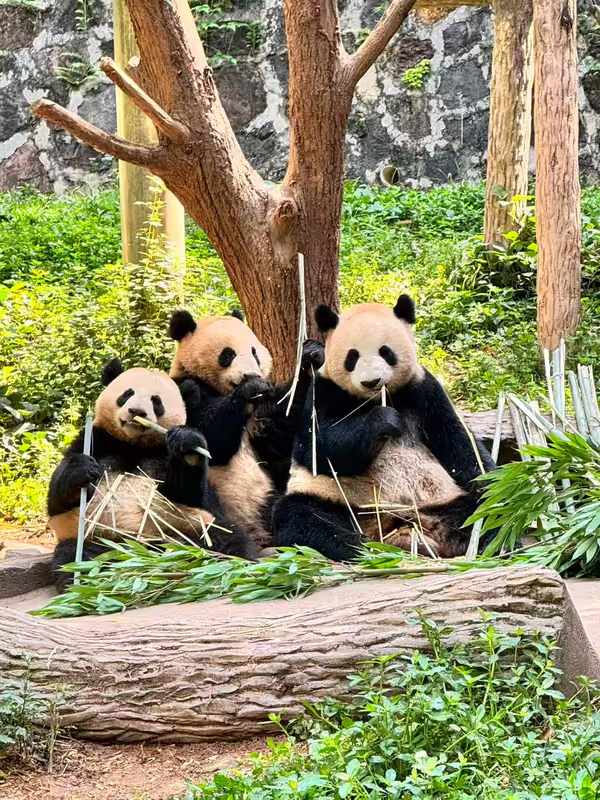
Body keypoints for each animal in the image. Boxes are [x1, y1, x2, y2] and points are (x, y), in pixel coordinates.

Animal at [48, 359, 257, 593]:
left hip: (192, 528)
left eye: (156, 401)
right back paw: (87, 582)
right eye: (127, 393)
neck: (133, 445)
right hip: (97, 538)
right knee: (76, 557)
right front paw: (81, 470)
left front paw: (188, 446)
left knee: (227, 538)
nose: (136, 411)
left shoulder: (163, 453)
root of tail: (149, 553)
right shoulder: (96, 440)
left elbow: (190, 494)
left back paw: (228, 570)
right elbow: (57, 502)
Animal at [168, 309, 324, 547]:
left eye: (254, 352)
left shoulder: (263, 413)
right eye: (227, 355)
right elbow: (211, 437)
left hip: (269, 492)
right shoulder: (184, 389)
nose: (251, 375)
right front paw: (250, 387)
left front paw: (310, 357)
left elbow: (284, 426)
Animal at [272, 295, 496, 562]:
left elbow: (457, 441)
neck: (375, 399)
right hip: (339, 501)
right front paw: (384, 420)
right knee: (303, 518)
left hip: (441, 501)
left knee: (479, 513)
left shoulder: (423, 389)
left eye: (386, 352)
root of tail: (396, 525)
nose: (371, 382)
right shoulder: (324, 392)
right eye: (352, 357)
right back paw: (363, 548)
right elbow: (319, 450)